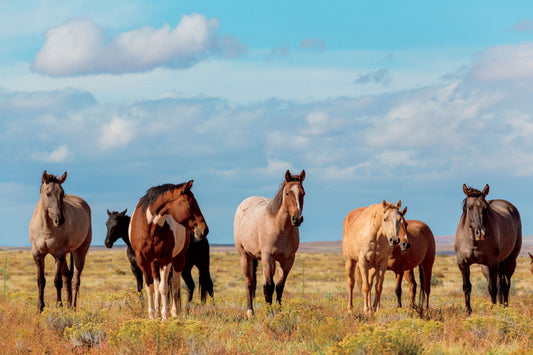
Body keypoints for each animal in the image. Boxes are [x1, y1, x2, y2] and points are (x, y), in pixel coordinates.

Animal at [28, 171, 91, 312]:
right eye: (48, 193)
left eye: (62, 193)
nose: (60, 220)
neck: (46, 226)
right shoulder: (38, 254)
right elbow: (41, 280)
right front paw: (40, 307)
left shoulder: (59, 254)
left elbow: (57, 281)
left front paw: (58, 305)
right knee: (67, 276)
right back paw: (68, 305)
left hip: (80, 251)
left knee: (75, 280)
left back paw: (72, 307)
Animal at [129, 182, 208, 322]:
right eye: (191, 204)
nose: (204, 229)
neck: (150, 228)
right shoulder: (143, 260)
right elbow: (150, 287)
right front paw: (152, 315)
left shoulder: (165, 259)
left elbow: (164, 288)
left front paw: (165, 317)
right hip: (154, 263)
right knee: (157, 285)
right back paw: (157, 312)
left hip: (178, 259)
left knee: (175, 284)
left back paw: (174, 312)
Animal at [233, 170, 304, 318]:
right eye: (287, 193)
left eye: (303, 193)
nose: (297, 219)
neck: (280, 227)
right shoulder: (267, 257)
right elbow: (269, 286)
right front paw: (270, 313)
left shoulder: (288, 260)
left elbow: (280, 286)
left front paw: (278, 312)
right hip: (245, 257)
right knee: (250, 282)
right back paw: (250, 312)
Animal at [454, 185, 520, 316]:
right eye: (469, 207)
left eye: (485, 208)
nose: (481, 233)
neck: (474, 242)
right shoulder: (463, 263)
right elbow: (467, 287)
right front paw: (468, 312)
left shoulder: (492, 263)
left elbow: (493, 289)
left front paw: (493, 311)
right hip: (486, 267)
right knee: (500, 283)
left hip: (510, 260)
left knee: (505, 284)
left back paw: (505, 308)